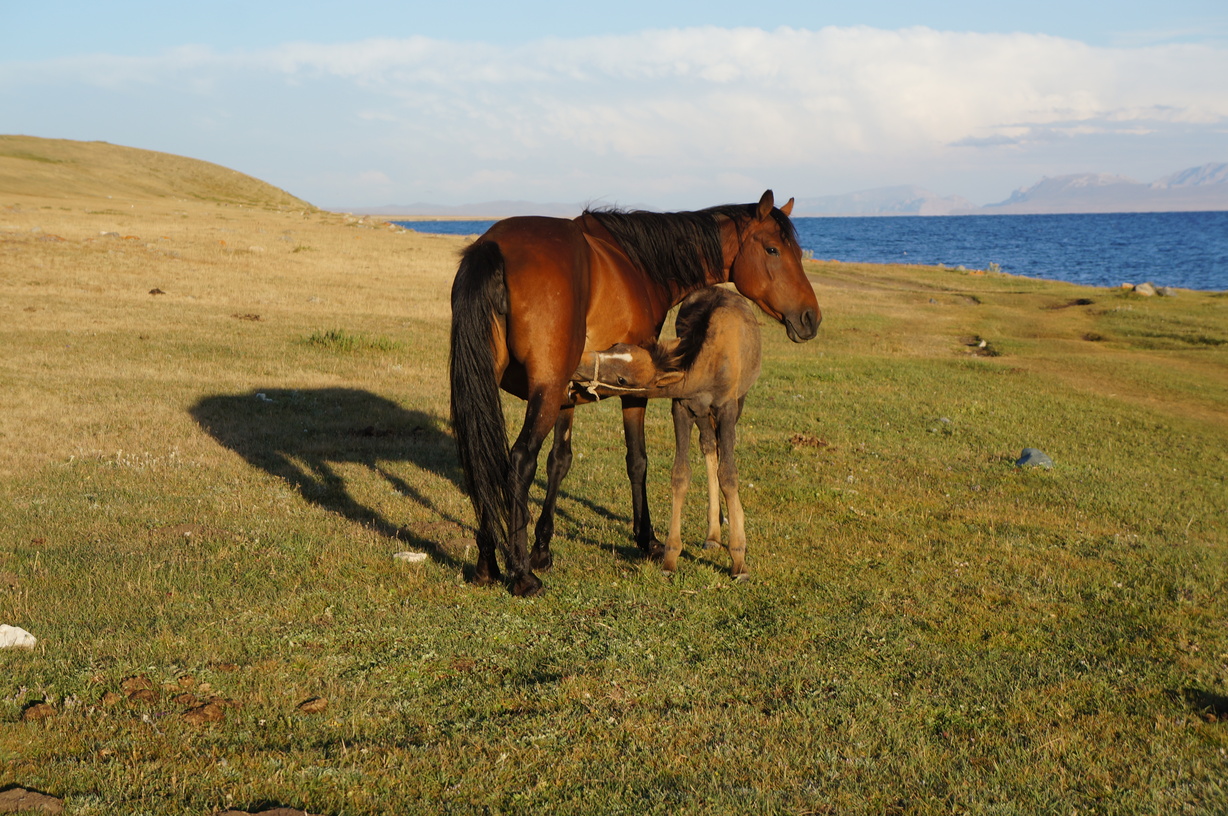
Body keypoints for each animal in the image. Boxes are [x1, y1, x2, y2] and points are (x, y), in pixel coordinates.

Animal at [572, 286, 756, 580]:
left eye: (623, 379)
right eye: (614, 346)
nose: (578, 361)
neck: (709, 364)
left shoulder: (727, 408)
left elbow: (729, 475)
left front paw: (739, 558)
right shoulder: (681, 408)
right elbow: (681, 474)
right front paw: (670, 557)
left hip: (737, 402)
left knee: (718, 449)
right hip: (702, 416)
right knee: (708, 445)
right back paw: (713, 533)